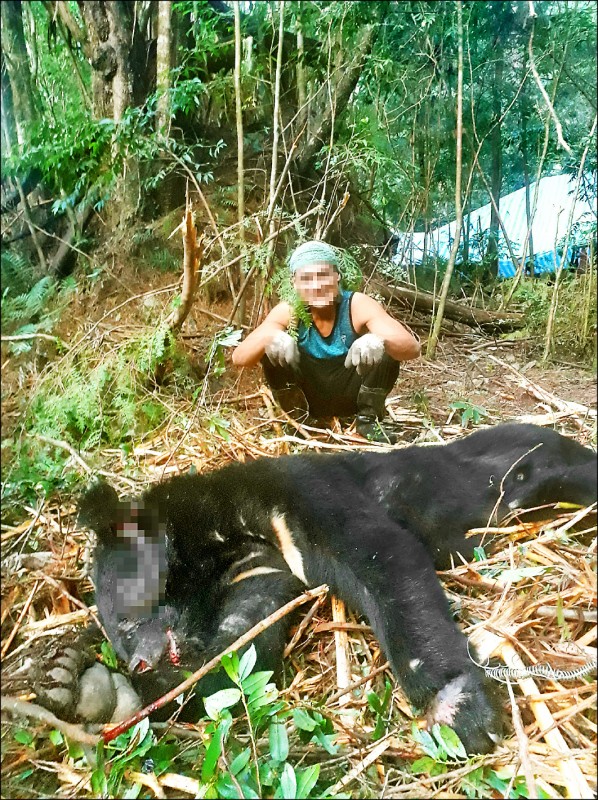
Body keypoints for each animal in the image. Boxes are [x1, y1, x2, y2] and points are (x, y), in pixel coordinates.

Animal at [34, 422, 598, 752]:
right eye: (116, 637)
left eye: (126, 617)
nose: (137, 662)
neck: (227, 536)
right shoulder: (261, 571)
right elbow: (243, 650)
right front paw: (84, 686)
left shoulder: (301, 489)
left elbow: (383, 556)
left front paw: (459, 710)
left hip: (550, 473)